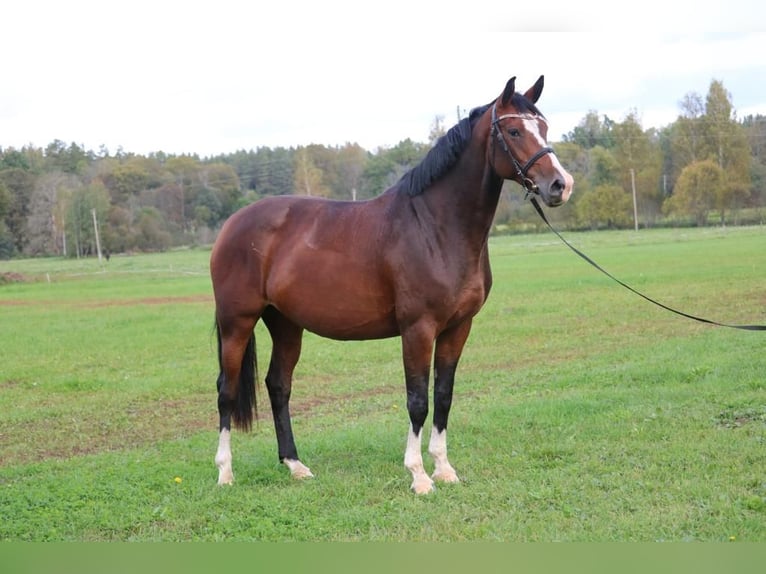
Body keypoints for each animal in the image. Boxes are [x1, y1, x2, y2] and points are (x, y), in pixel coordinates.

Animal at [213, 76, 572, 496]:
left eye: (543, 127)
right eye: (514, 131)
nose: (560, 185)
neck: (435, 226)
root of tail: (233, 223)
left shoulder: (457, 327)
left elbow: (443, 397)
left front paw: (444, 469)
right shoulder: (418, 329)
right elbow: (417, 400)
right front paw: (418, 475)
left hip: (286, 324)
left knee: (278, 386)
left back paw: (295, 465)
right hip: (237, 322)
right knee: (226, 390)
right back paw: (225, 472)